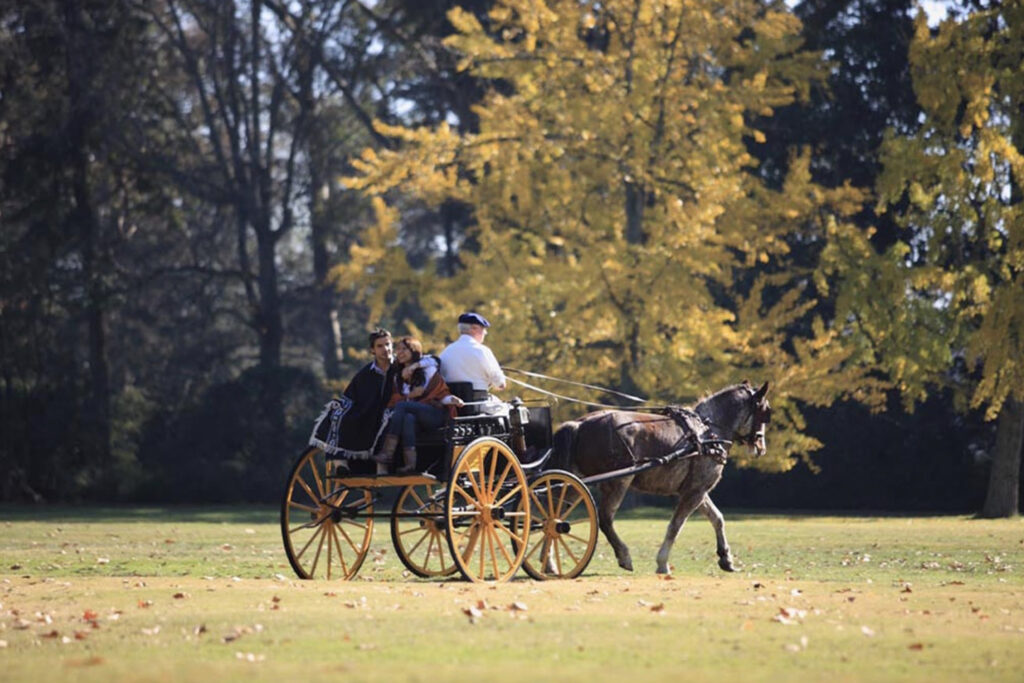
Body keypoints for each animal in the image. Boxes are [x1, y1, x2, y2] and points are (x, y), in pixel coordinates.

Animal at [552, 382, 770, 573]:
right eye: (764, 412)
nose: (761, 448)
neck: (706, 433)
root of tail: (579, 424)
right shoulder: (695, 491)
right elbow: (675, 526)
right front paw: (662, 563)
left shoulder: (696, 490)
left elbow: (717, 518)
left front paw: (726, 558)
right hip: (617, 483)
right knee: (604, 518)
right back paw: (624, 555)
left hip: (573, 484)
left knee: (553, 517)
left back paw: (550, 565)